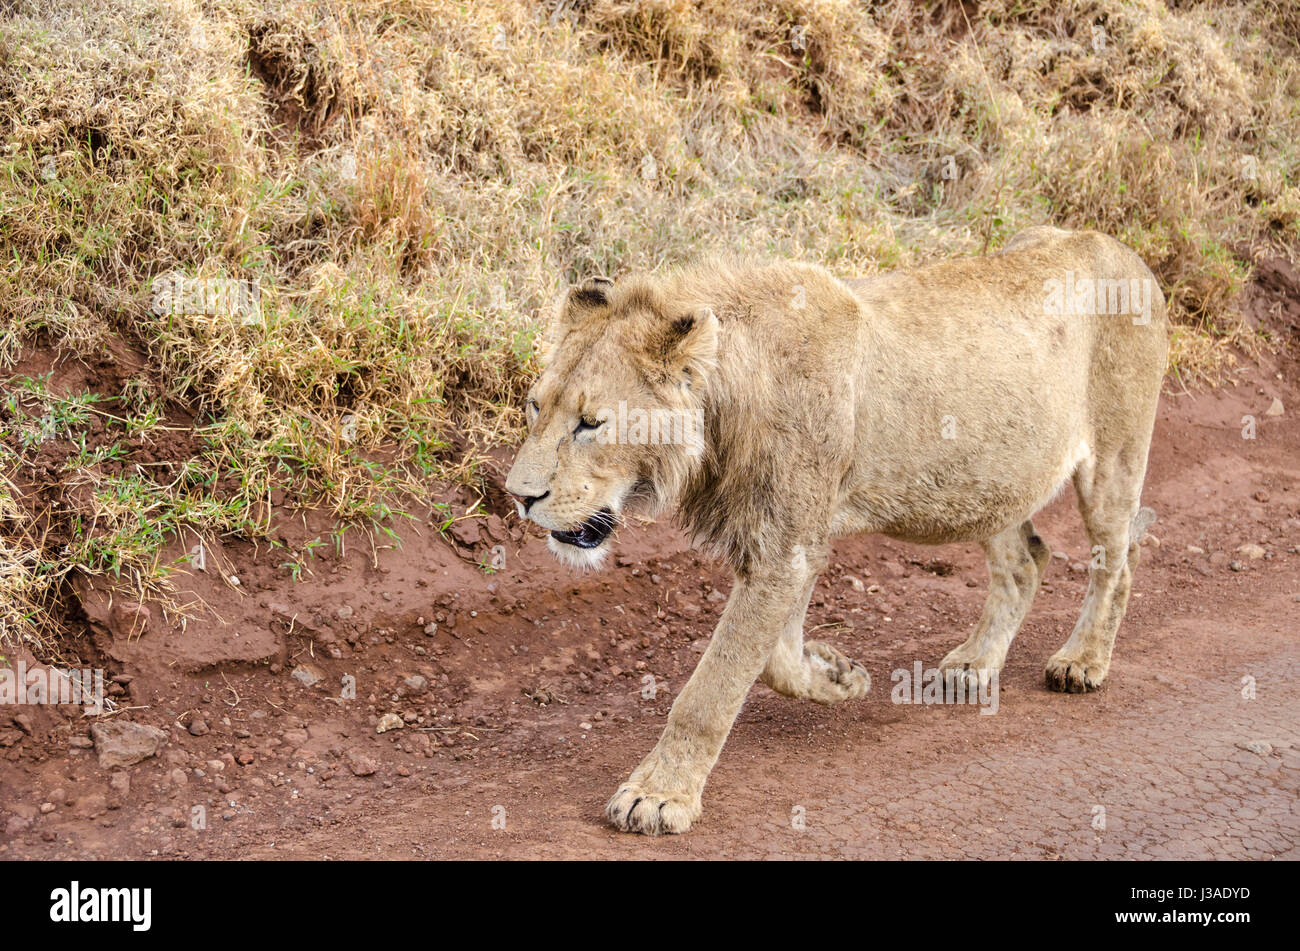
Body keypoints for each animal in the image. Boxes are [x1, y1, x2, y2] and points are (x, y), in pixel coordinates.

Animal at [504, 226, 1170, 836]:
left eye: (591, 423)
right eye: (536, 407)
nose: (519, 496)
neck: (726, 405)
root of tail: (1126, 251)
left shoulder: (786, 548)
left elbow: (712, 687)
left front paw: (658, 796)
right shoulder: (788, 541)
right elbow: (775, 661)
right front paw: (837, 675)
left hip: (1114, 457)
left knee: (1119, 558)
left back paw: (1081, 661)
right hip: (991, 481)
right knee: (1027, 559)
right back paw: (974, 665)